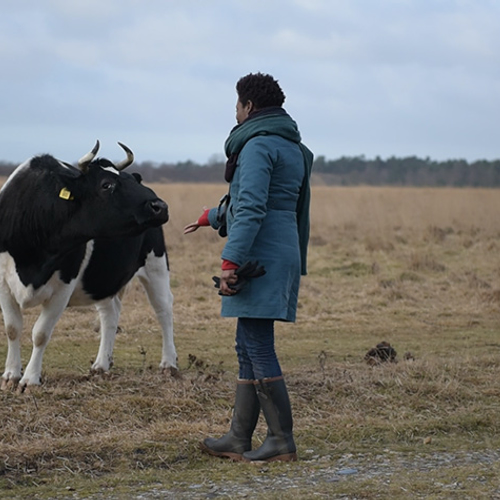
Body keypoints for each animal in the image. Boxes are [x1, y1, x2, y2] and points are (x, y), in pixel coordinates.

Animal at [0, 141, 179, 390]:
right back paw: (102, 364)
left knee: (164, 309)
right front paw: (10, 375)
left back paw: (169, 363)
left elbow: (41, 333)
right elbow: (12, 329)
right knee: (109, 314)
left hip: (156, 265)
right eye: (107, 184)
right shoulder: (3, 283)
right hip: (103, 279)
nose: (160, 206)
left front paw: (30, 379)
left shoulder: (64, 286)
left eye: (131, 182)